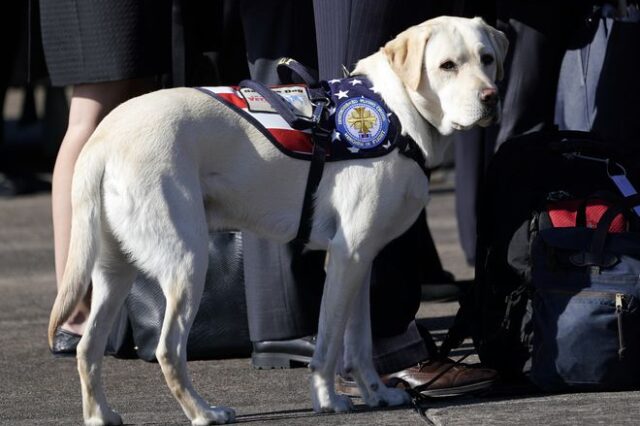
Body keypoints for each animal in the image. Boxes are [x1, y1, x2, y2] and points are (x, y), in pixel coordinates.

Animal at [47, 15, 508, 426]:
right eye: (447, 65)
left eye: (487, 58)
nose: (490, 98)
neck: (395, 110)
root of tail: (103, 138)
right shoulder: (345, 256)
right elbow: (328, 344)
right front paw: (328, 400)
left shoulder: (361, 260)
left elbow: (359, 343)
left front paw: (377, 394)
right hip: (186, 263)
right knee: (168, 350)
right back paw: (204, 412)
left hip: (114, 272)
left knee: (88, 350)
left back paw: (101, 415)